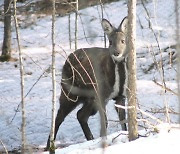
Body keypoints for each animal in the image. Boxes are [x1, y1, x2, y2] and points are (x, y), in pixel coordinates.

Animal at [46, 16, 128, 149]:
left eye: (123, 41)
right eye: (110, 41)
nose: (117, 53)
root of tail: (67, 59)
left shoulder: (121, 96)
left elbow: (123, 121)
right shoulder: (101, 95)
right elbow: (105, 121)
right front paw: (103, 141)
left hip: (89, 98)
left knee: (81, 115)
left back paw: (90, 139)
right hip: (70, 91)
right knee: (59, 116)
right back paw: (49, 146)